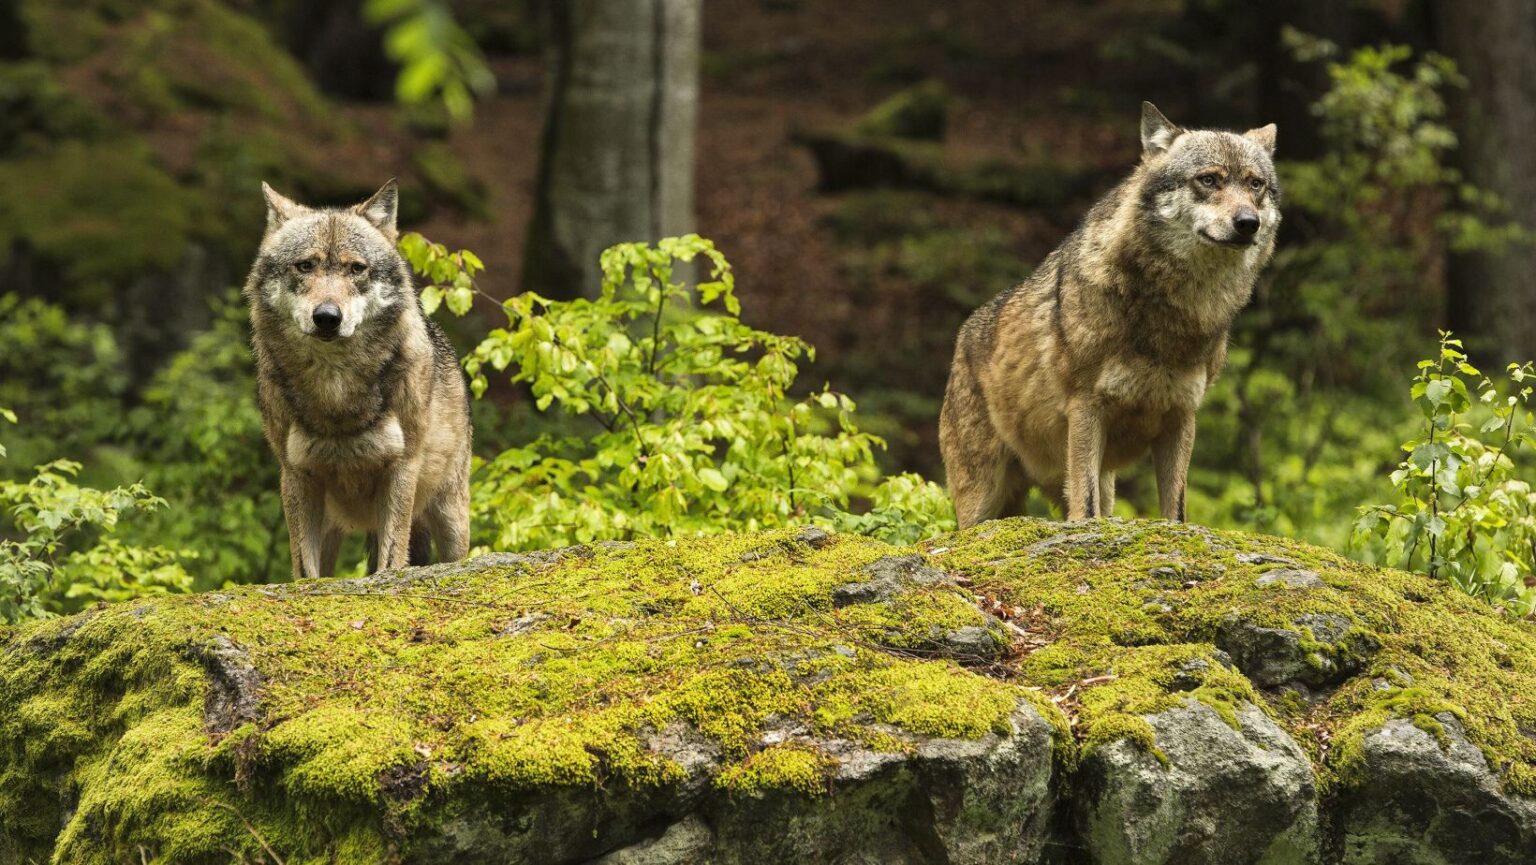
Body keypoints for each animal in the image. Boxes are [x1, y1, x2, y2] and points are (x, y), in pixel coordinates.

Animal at [246, 179, 472, 579]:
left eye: (356, 269)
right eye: (305, 265)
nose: (327, 317)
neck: (335, 389)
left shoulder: (402, 468)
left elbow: (391, 560)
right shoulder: (295, 474)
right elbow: (305, 570)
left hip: (450, 516)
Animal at [940, 102, 1279, 528]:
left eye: (1255, 185)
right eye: (1209, 180)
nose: (1248, 223)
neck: (1172, 314)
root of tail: (962, 337)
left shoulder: (1182, 416)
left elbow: (1175, 512)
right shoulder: (1085, 409)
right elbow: (1084, 510)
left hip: (1101, 484)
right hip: (982, 502)